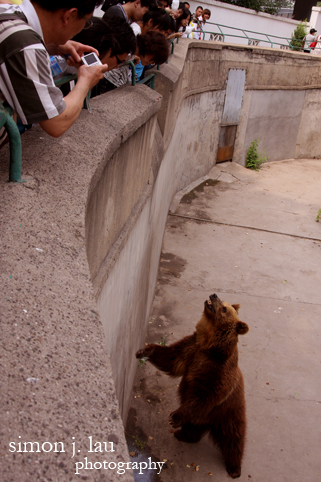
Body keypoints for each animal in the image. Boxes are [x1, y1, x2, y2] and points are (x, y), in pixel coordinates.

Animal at [135, 294, 248, 478]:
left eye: (224, 308)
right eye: (223, 301)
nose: (214, 295)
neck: (210, 346)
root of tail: (210, 422)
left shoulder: (217, 371)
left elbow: (205, 395)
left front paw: (174, 417)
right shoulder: (191, 349)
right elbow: (171, 358)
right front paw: (145, 350)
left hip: (228, 411)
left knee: (233, 437)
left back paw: (234, 468)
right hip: (202, 417)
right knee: (193, 427)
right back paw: (183, 435)